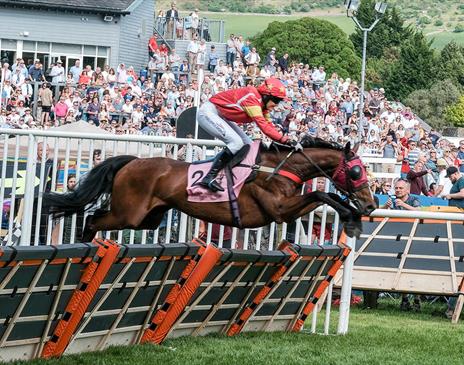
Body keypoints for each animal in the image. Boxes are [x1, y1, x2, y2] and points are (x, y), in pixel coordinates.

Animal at [42, 136, 376, 242]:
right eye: (356, 171)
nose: (371, 204)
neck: (276, 169)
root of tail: (131, 162)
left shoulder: (284, 210)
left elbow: (325, 195)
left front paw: (353, 216)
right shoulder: (278, 210)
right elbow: (321, 193)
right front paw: (352, 219)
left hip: (148, 218)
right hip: (129, 213)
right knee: (92, 219)